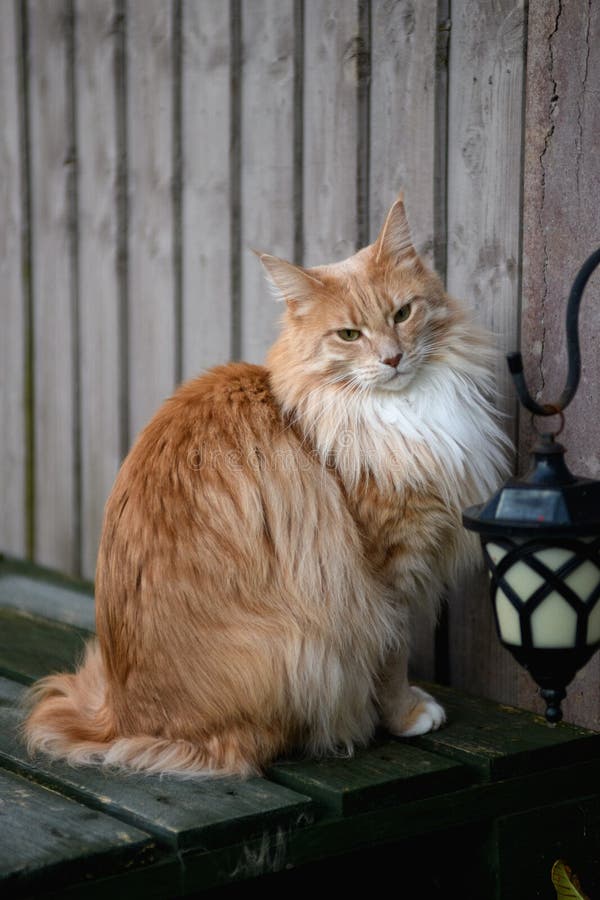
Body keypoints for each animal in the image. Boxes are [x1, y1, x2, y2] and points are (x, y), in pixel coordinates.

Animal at [25, 193, 508, 776]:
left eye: (402, 314)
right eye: (349, 335)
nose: (392, 358)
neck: (392, 412)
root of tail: (117, 717)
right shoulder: (387, 570)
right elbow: (392, 658)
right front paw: (406, 714)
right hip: (301, 647)